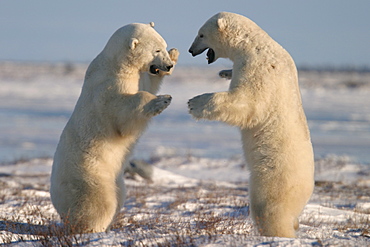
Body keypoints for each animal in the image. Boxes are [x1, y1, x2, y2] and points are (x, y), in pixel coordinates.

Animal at [51, 22, 176, 233]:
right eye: (157, 50)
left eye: (164, 46)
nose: (168, 65)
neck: (116, 65)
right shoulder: (108, 90)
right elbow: (124, 114)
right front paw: (162, 100)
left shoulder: (135, 77)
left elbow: (148, 83)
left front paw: (176, 54)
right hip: (90, 178)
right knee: (99, 204)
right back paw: (92, 229)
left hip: (116, 180)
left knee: (119, 197)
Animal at [189, 12, 314, 237]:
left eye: (201, 34)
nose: (191, 50)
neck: (253, 44)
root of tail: (307, 190)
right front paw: (225, 72)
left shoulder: (260, 68)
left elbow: (248, 102)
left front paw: (194, 103)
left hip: (275, 180)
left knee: (268, 210)